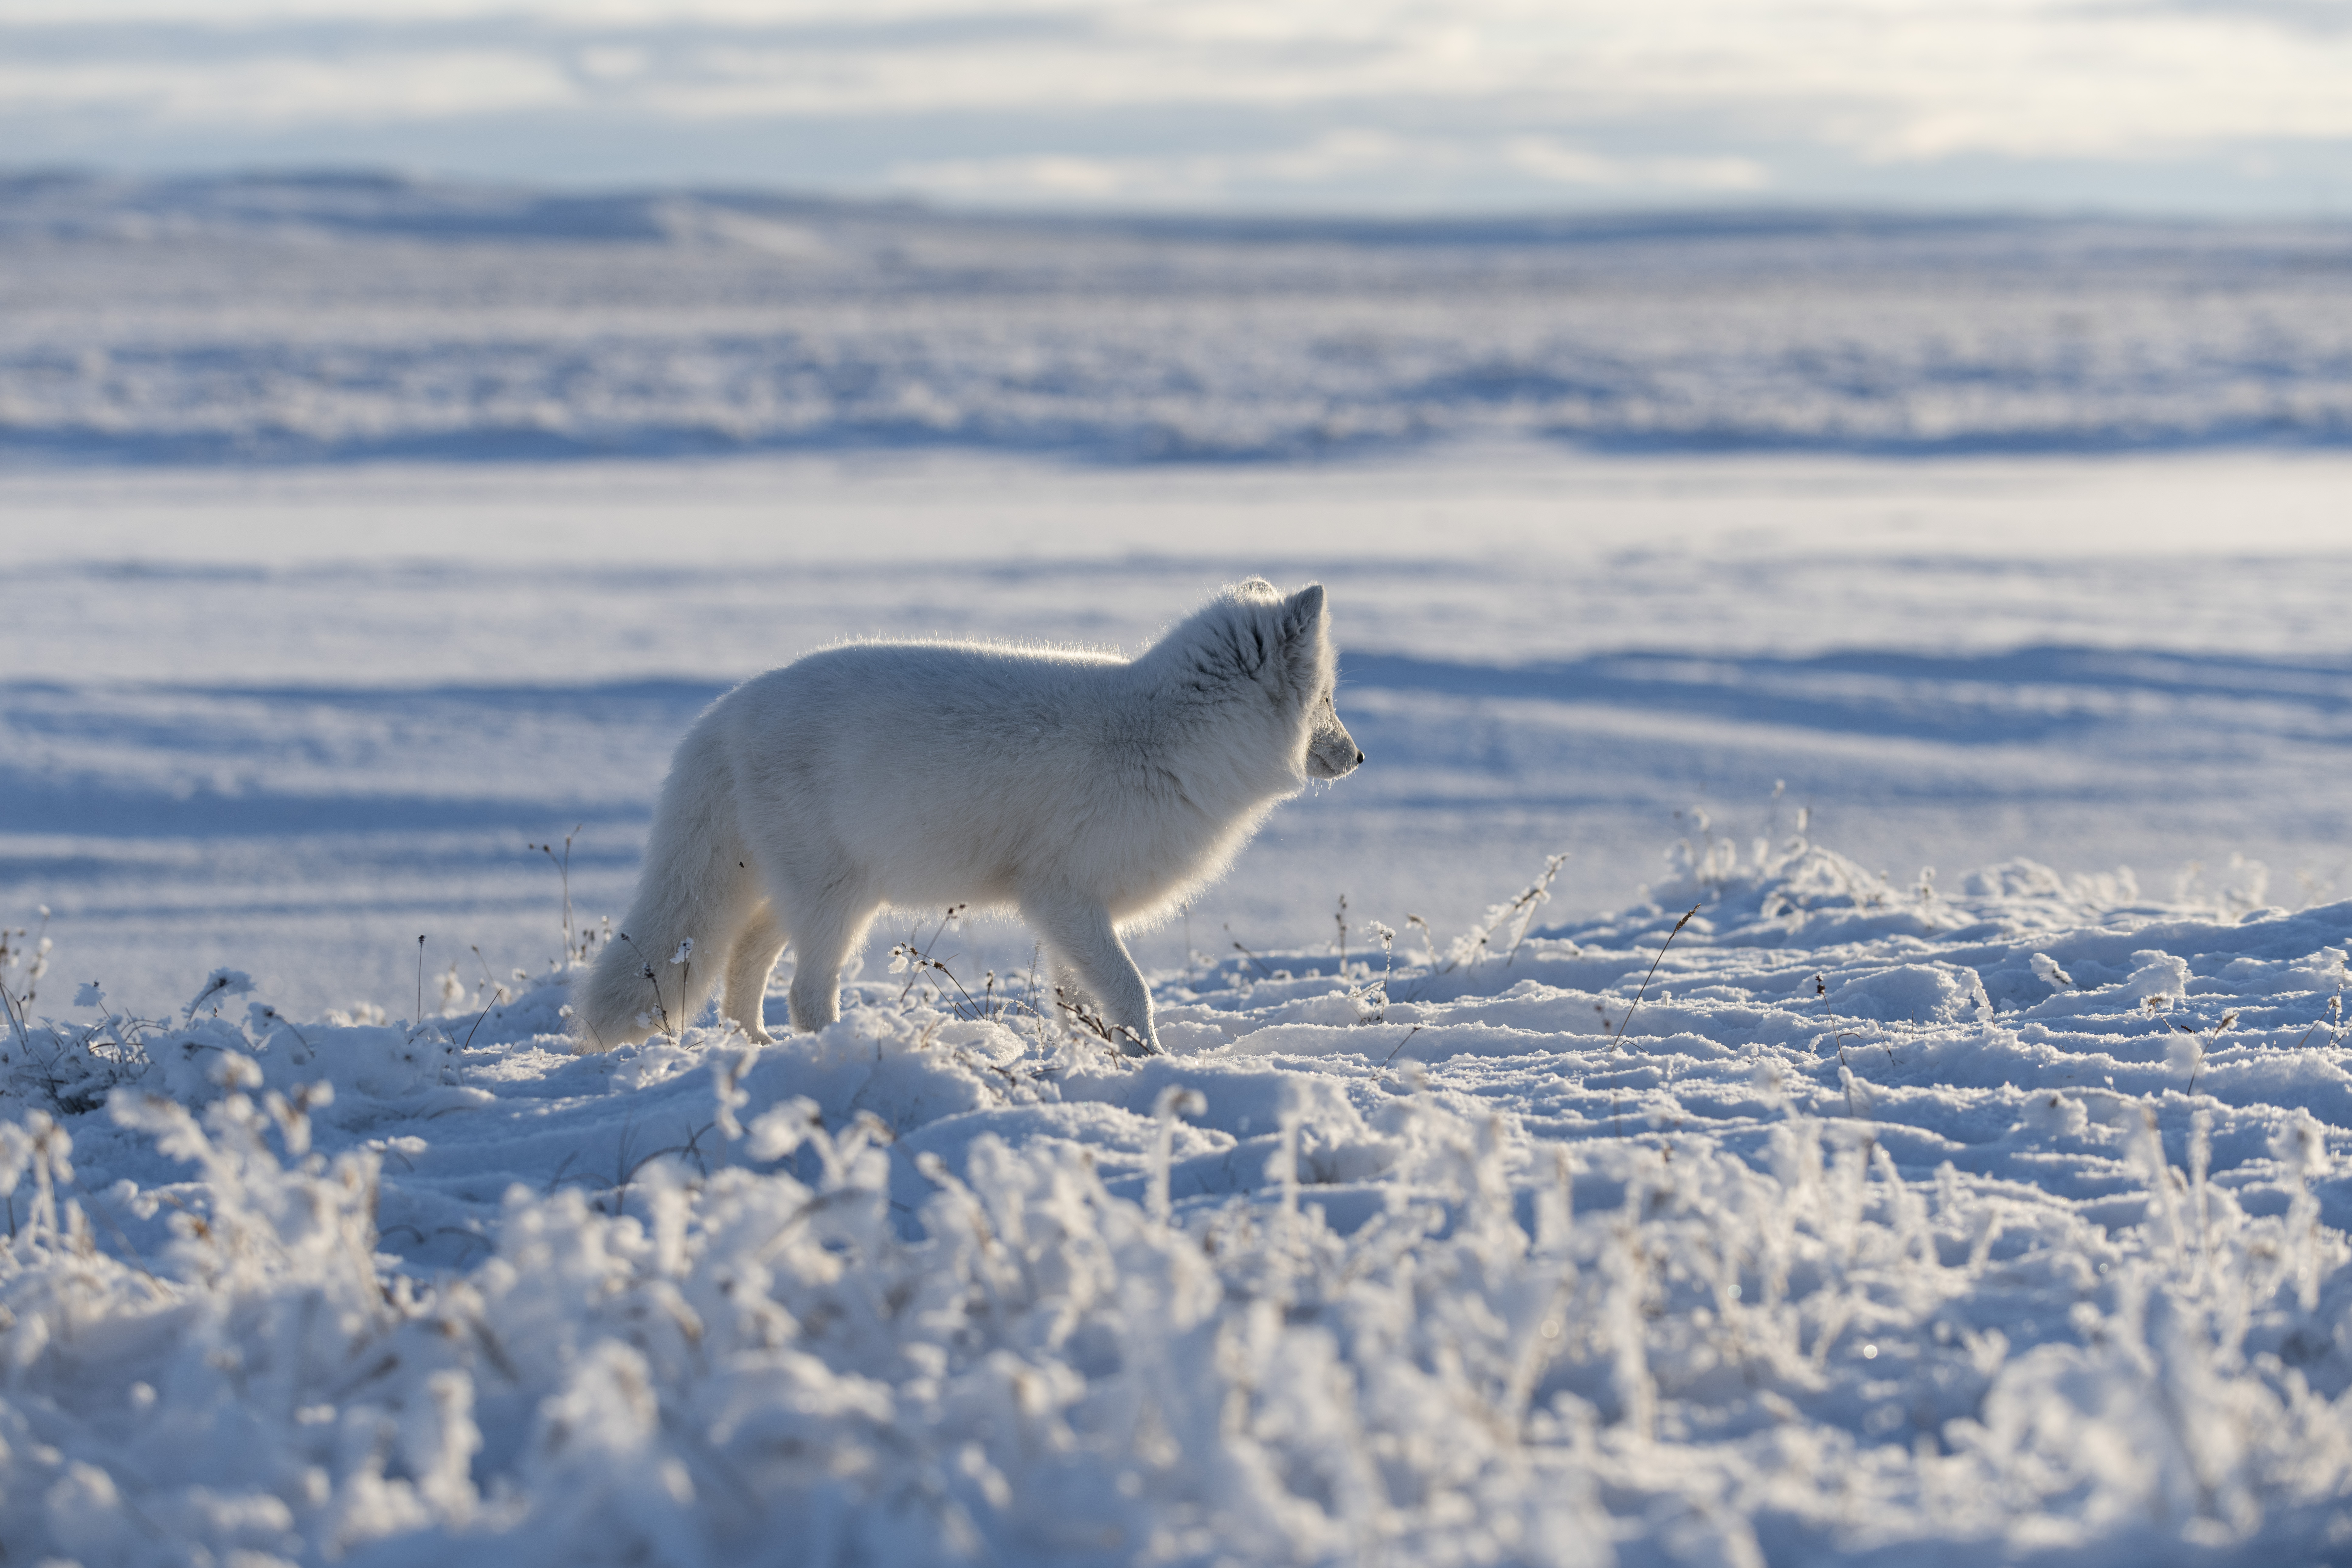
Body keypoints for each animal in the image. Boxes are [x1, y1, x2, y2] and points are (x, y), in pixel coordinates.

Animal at [571, 583, 1373, 1062]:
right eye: (1328, 700)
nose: (1361, 756)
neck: (1163, 737)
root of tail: (724, 712)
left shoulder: (1072, 913)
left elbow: (1075, 1001)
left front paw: (1088, 1060)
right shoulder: (1061, 895)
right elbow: (1132, 989)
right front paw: (1152, 1060)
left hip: (791, 895)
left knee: (744, 966)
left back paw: (758, 1046)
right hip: (837, 902)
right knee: (806, 993)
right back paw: (836, 1050)